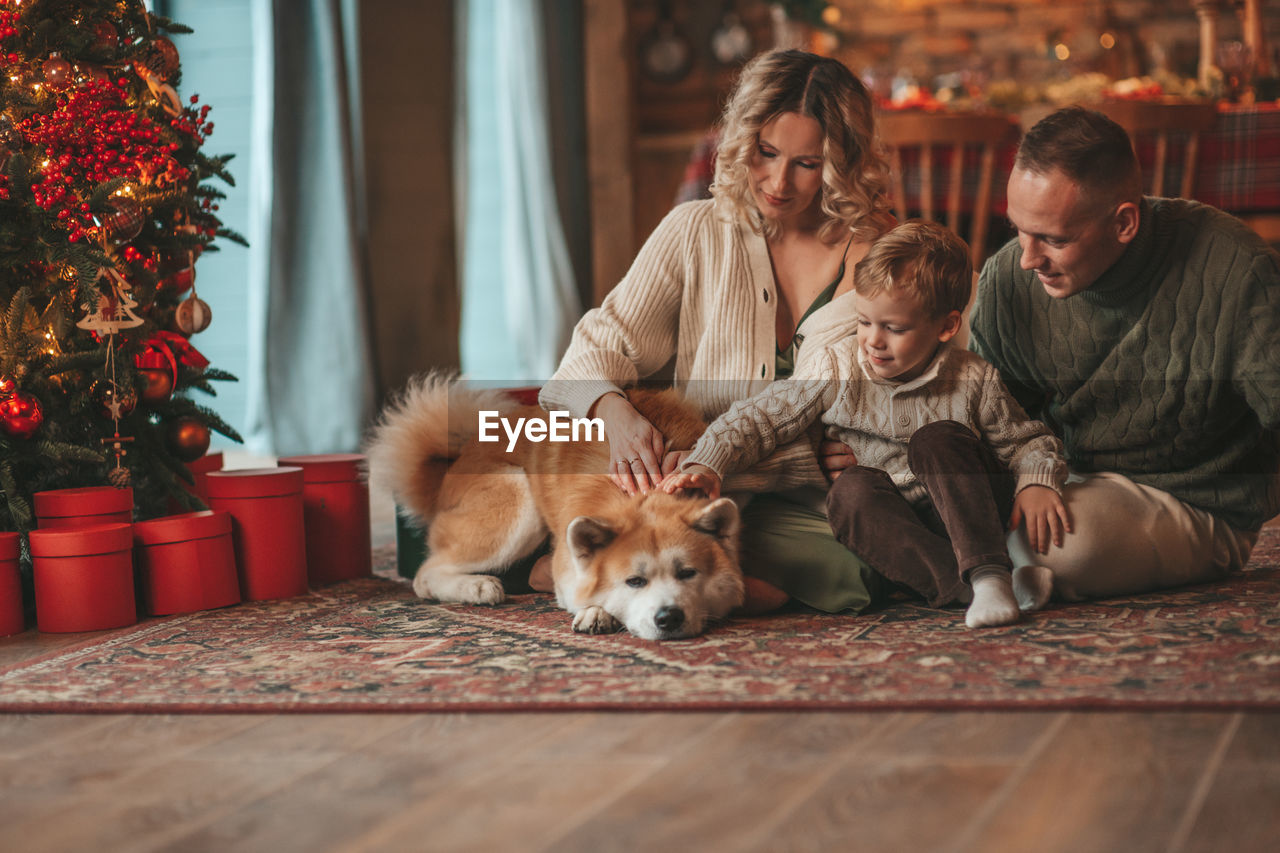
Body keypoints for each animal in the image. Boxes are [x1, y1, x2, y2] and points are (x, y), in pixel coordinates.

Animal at [363, 373, 742, 637]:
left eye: (688, 573)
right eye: (634, 581)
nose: (669, 617)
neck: (645, 494)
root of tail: (451, 466)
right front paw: (596, 611)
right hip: (519, 503)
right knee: (425, 574)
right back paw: (476, 587)